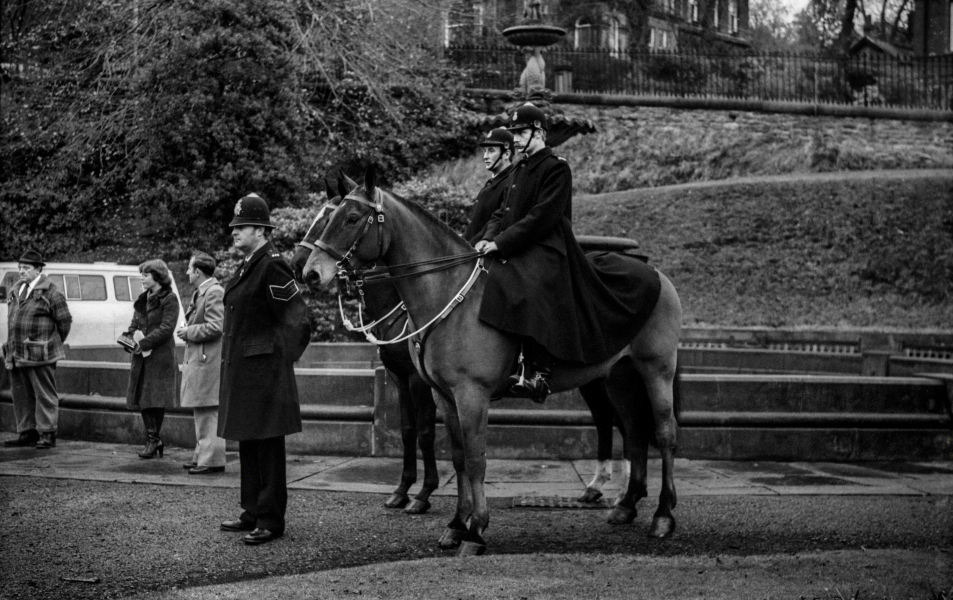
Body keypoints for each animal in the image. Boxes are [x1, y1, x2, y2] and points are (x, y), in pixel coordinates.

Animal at [302, 166, 680, 556]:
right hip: (618, 375)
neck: (446, 295)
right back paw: (627, 504)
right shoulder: (443, 394)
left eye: (350, 217)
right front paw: (456, 524)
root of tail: (655, 274)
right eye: (328, 216)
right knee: (634, 430)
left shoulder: (471, 393)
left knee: (665, 433)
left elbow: (475, 459)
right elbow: (457, 457)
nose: (309, 273)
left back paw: (663, 515)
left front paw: (475, 529)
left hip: (656, 369)